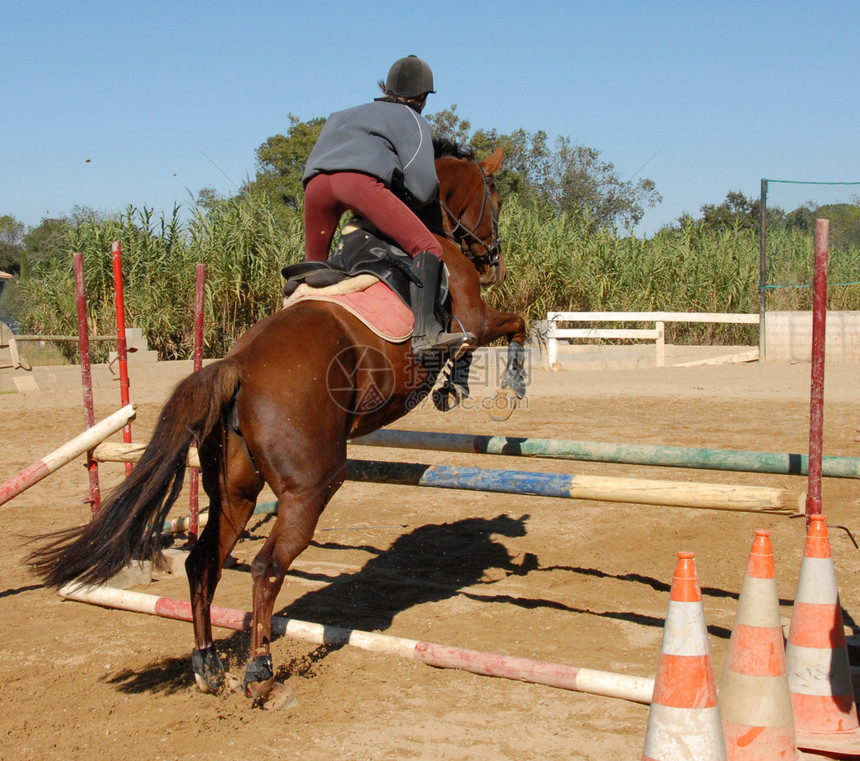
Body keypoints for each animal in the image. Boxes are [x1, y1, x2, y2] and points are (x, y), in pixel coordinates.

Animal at [28, 141, 524, 700]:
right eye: (496, 200)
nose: (496, 263)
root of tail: (238, 366)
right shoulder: (475, 318)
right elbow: (512, 326)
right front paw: (501, 390)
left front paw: (458, 387)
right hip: (313, 486)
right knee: (266, 567)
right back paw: (260, 672)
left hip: (236, 490)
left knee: (203, 562)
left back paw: (208, 665)